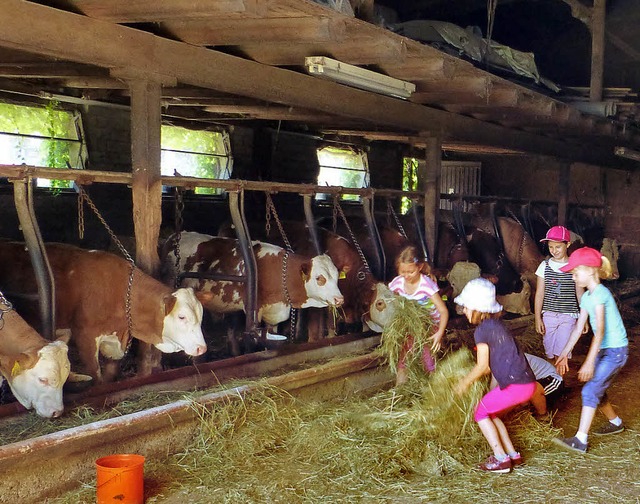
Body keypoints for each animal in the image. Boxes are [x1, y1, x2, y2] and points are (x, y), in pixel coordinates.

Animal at [0, 243, 206, 382]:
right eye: (182, 316)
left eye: (201, 316)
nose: (202, 348)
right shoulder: (85, 336)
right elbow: (96, 375)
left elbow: (110, 373)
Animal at [162, 233, 348, 344]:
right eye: (319, 278)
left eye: (337, 276)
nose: (340, 299)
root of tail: (174, 236)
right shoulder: (254, 311)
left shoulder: (275, 314)